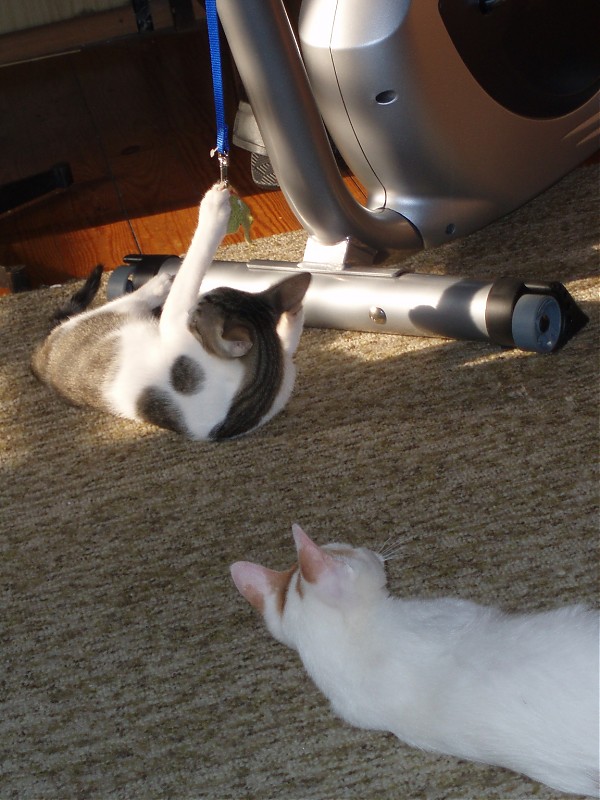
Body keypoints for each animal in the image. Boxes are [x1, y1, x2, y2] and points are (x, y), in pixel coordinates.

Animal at [31, 182, 311, 440]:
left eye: (201, 305)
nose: (198, 299)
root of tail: (39, 358)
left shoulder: (175, 323)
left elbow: (193, 266)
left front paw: (214, 209)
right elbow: (288, 342)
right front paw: (296, 313)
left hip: (112, 314)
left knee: (130, 300)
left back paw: (159, 282)